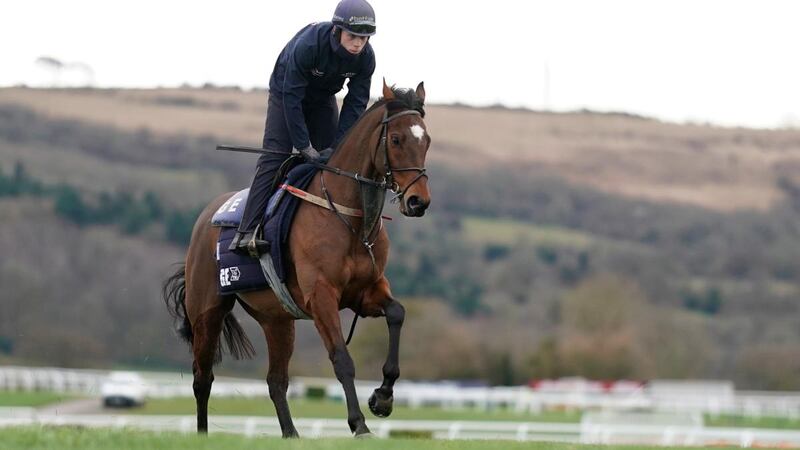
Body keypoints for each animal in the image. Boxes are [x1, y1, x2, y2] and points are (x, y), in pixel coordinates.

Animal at [162, 80, 432, 436]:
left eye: (427, 140)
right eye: (397, 139)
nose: (418, 202)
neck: (350, 217)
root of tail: (205, 217)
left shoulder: (365, 292)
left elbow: (397, 313)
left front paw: (383, 398)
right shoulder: (321, 296)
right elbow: (341, 358)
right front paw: (359, 424)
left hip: (277, 319)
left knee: (276, 381)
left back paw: (292, 435)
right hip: (207, 310)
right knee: (202, 378)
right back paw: (204, 435)